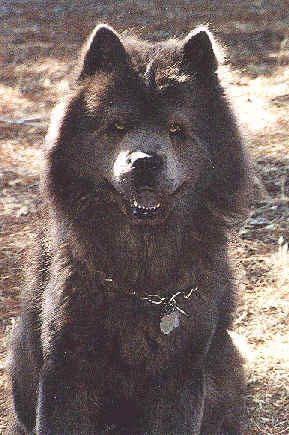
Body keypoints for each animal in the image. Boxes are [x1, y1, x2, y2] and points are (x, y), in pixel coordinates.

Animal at [9, 25, 248, 434]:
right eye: (117, 126)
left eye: (175, 129)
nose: (145, 162)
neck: (141, 284)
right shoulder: (66, 373)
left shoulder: (180, 377)